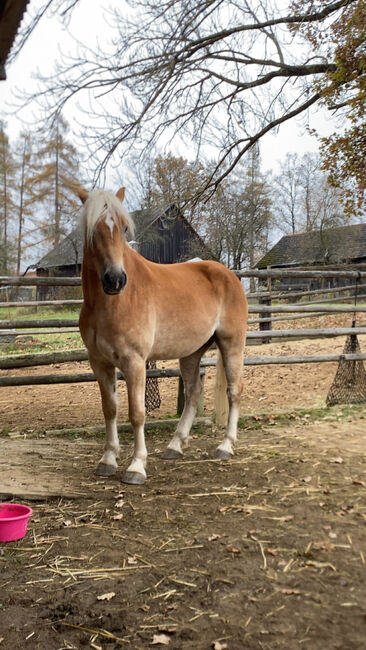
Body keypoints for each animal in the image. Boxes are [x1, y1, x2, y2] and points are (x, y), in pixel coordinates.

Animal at [77, 185, 249, 484]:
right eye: (91, 229)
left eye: (123, 227)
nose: (115, 279)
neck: (111, 303)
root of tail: (228, 274)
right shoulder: (99, 362)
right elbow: (110, 409)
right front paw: (108, 460)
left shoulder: (134, 362)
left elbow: (137, 414)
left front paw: (136, 466)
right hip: (191, 353)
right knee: (192, 393)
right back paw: (175, 445)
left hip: (232, 344)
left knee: (234, 390)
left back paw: (225, 446)